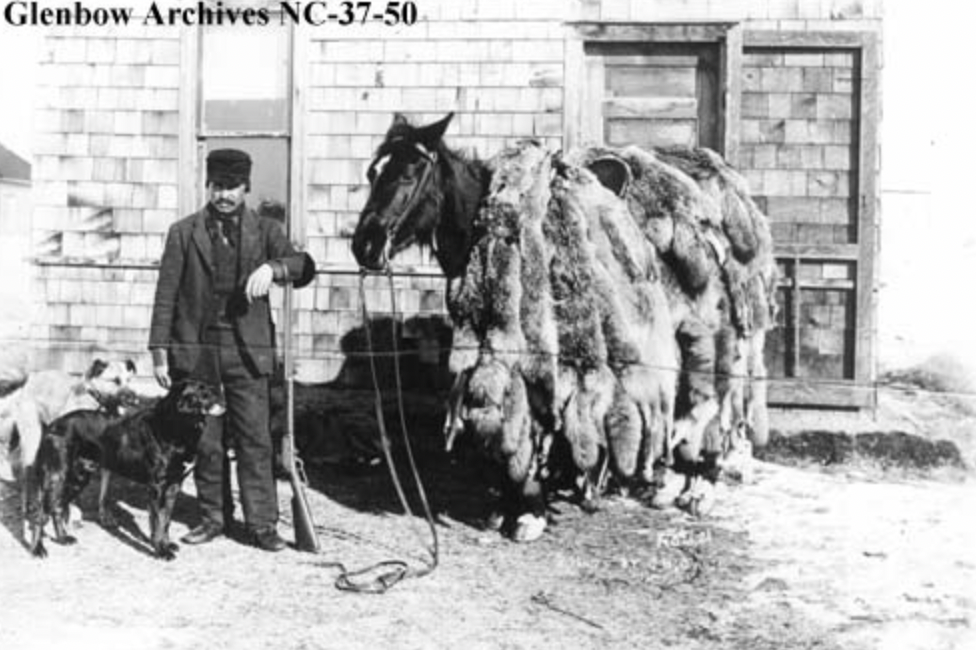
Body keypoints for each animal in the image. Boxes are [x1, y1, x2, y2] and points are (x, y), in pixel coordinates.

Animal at [27, 380, 227, 556]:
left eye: (210, 389)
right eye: (203, 394)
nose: (224, 402)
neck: (173, 428)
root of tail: (51, 425)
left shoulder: (173, 485)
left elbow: (166, 520)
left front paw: (166, 544)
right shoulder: (156, 487)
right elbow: (158, 520)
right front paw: (161, 551)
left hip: (78, 477)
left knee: (58, 507)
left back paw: (62, 538)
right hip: (56, 476)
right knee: (40, 514)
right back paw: (37, 550)